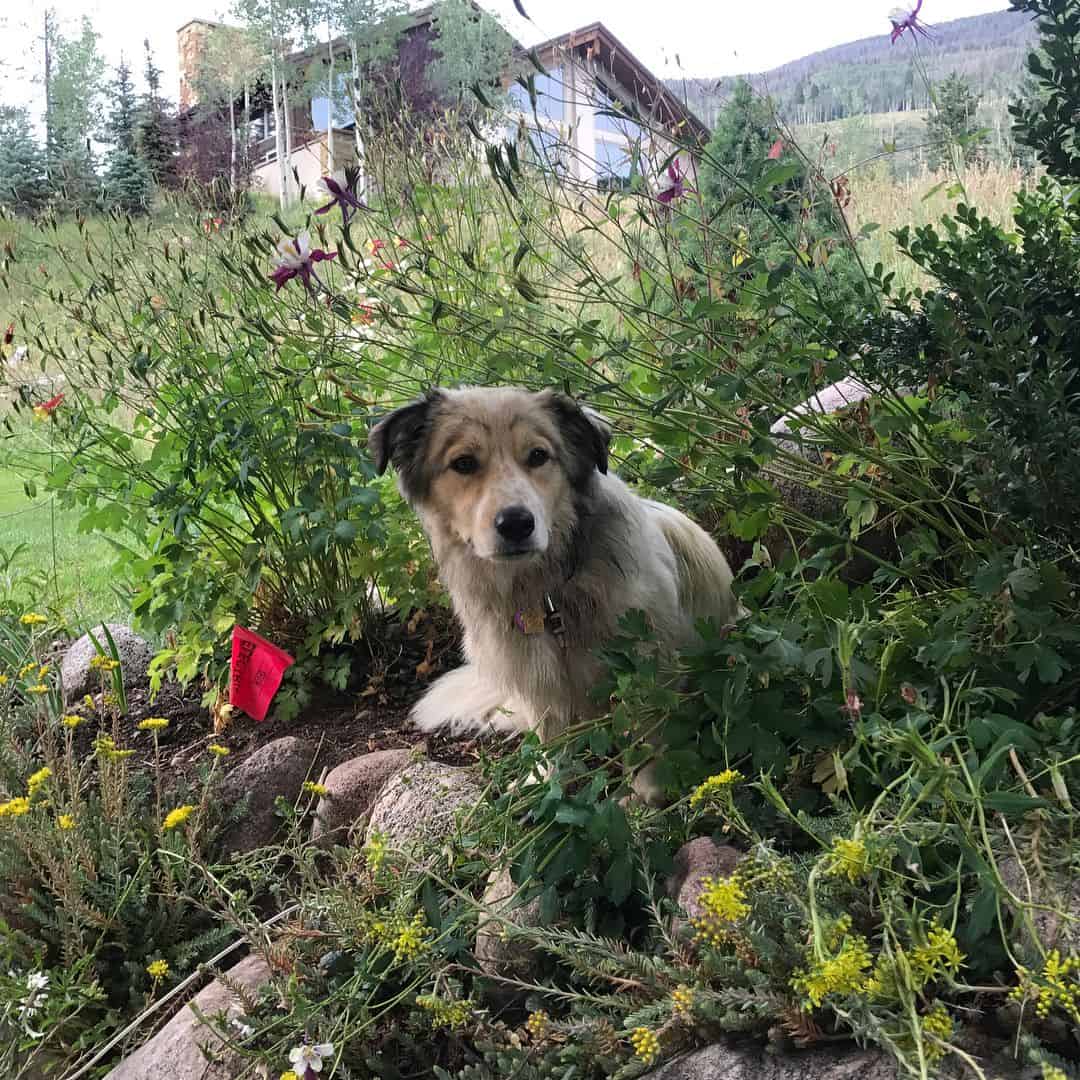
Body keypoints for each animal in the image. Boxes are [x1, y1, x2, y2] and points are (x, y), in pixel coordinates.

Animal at [367, 384, 738, 799]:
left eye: (538, 456)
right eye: (463, 463)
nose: (516, 523)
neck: (548, 592)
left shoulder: (649, 659)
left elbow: (650, 730)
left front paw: (648, 789)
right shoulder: (535, 674)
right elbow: (551, 736)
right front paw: (546, 782)